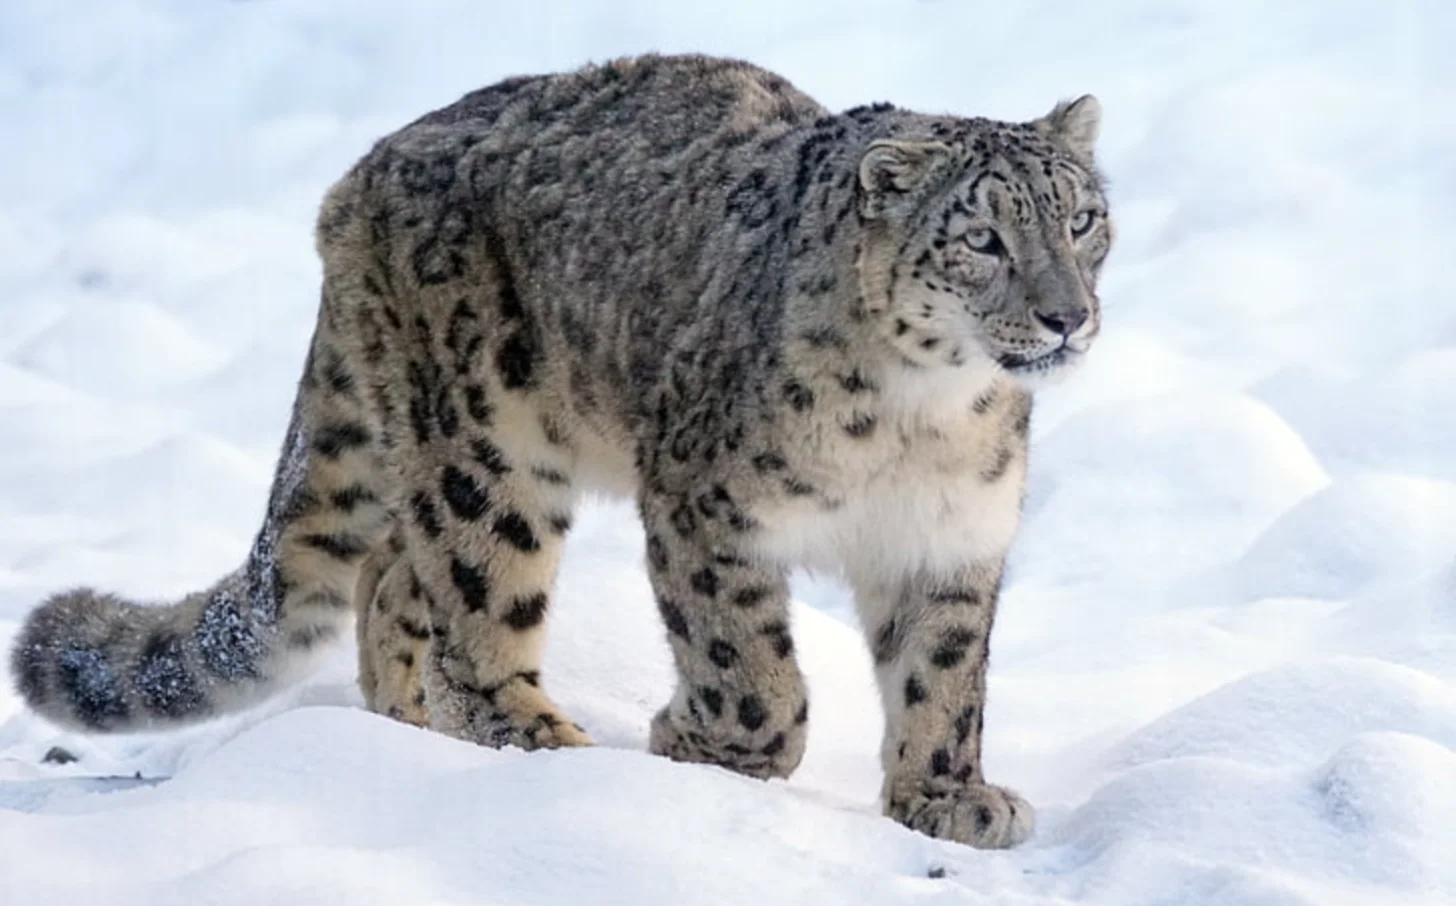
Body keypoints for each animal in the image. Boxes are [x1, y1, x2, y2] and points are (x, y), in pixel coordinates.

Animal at [10, 53, 1112, 849]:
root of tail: (359, 176)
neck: (925, 416)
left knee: (391, 581)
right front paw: (698, 743)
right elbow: (750, 668)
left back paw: (404, 731)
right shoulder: (707, 509)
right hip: (487, 453)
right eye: (982, 239)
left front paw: (947, 797)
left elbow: (943, 677)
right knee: (469, 610)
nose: (1067, 315)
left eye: (1083, 219)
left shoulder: (950, 540)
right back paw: (542, 744)